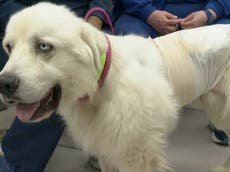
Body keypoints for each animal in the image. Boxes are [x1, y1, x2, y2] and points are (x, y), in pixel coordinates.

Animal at [0, 2, 230, 172]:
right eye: (9, 47)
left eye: (44, 46)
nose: (4, 84)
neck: (102, 84)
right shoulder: (107, 149)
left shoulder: (138, 155)